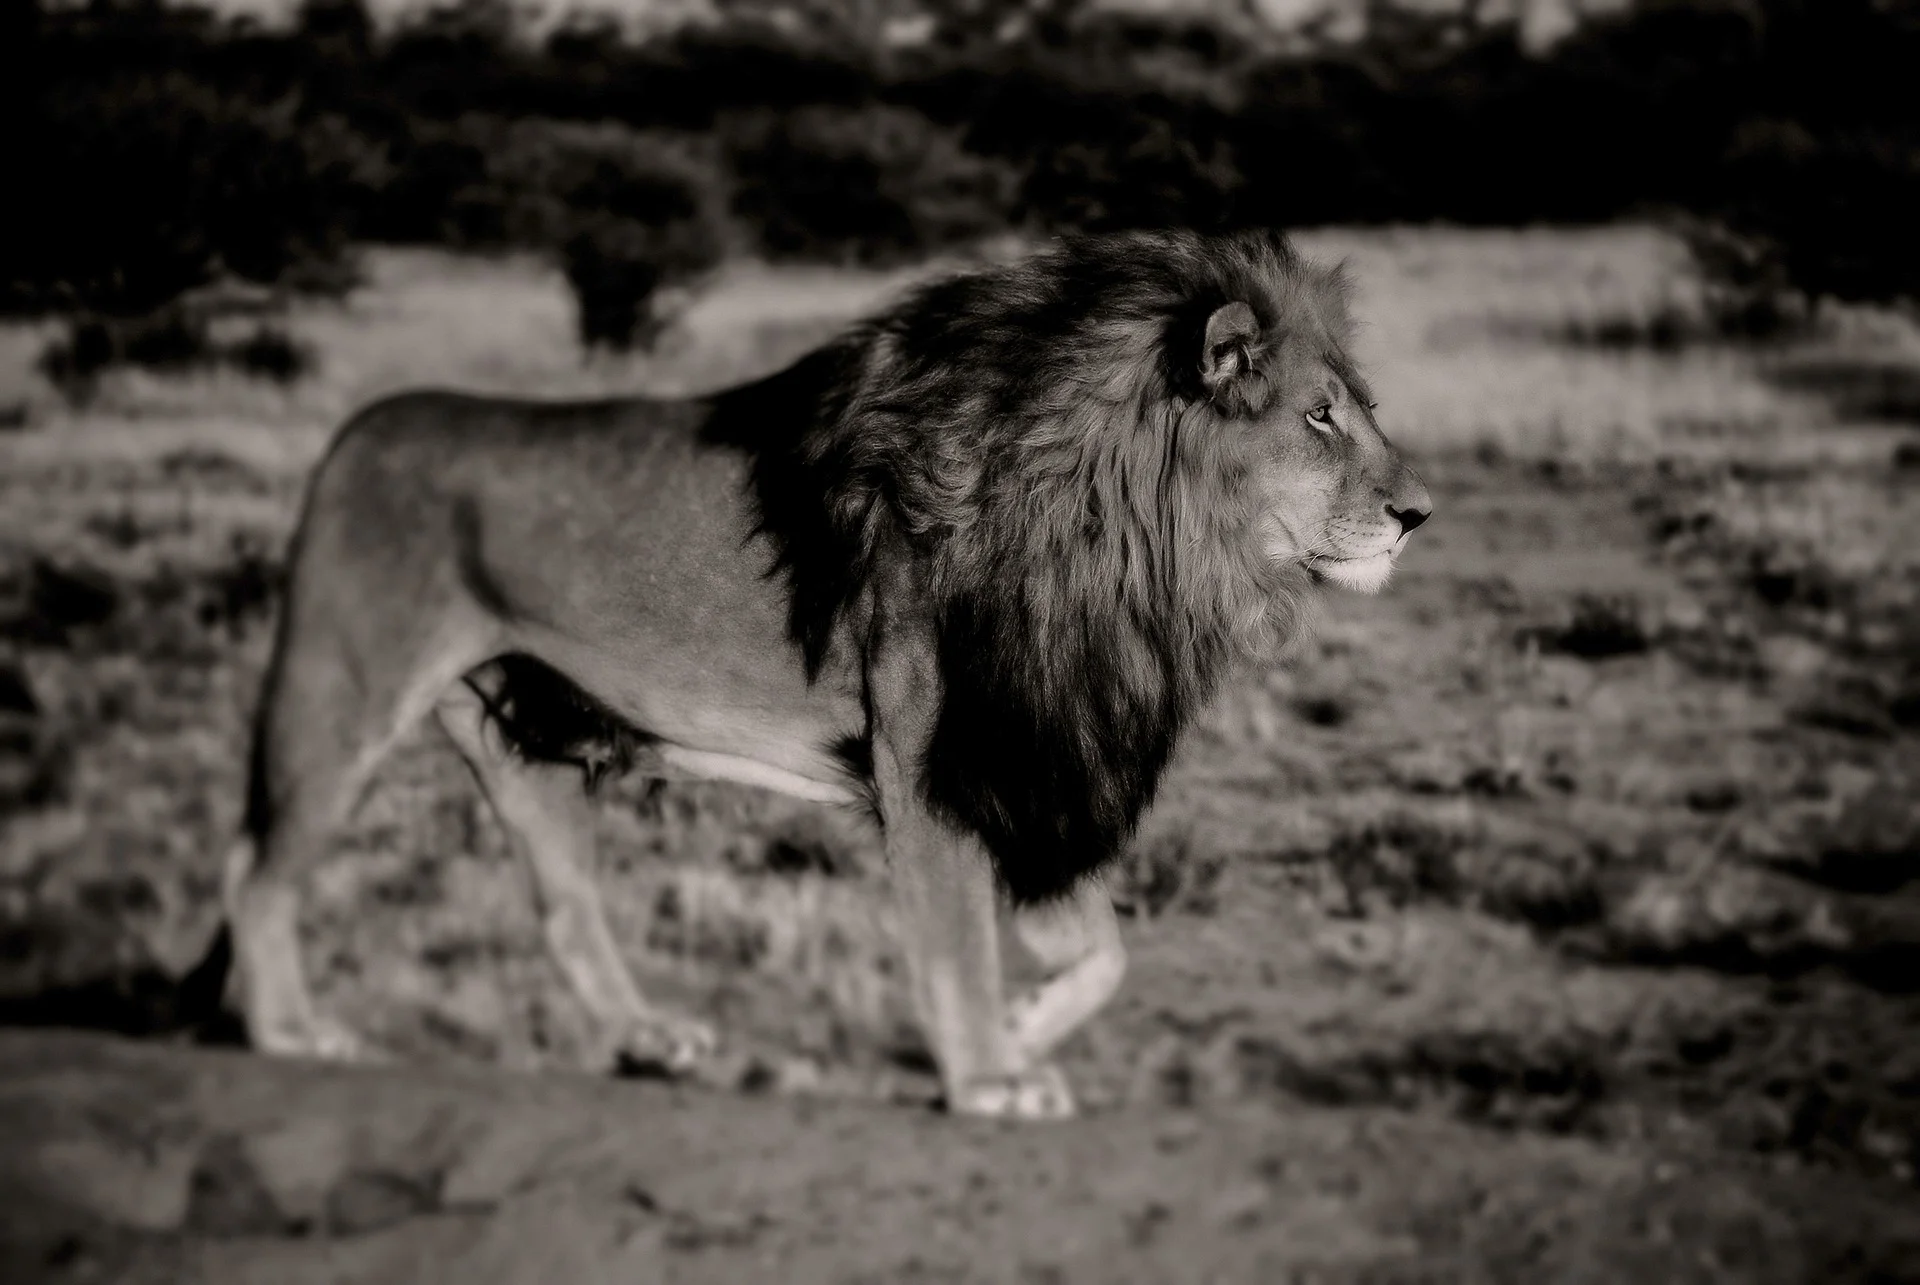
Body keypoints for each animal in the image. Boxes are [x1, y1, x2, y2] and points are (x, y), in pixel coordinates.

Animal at [204, 228, 1431, 1119]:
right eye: (1320, 418)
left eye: (1362, 410)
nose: (1420, 513)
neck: (1131, 545)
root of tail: (354, 430)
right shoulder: (936, 758)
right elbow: (959, 938)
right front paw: (988, 1077)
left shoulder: (1032, 758)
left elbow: (1106, 955)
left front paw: (1020, 1033)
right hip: (344, 694)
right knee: (258, 869)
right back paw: (293, 1030)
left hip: (526, 729)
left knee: (561, 904)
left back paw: (646, 1036)